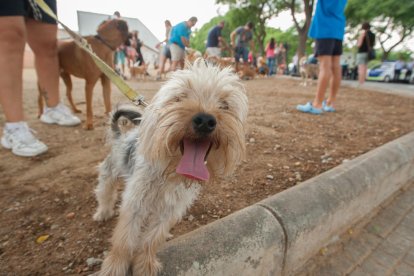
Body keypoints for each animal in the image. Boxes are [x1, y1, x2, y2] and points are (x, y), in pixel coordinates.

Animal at [94, 59, 249, 274]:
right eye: (179, 98)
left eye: (225, 105)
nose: (205, 120)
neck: (169, 174)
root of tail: (120, 136)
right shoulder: (135, 203)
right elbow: (125, 239)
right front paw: (115, 265)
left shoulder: (170, 210)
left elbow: (152, 239)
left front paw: (145, 263)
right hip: (109, 172)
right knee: (104, 192)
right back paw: (103, 212)